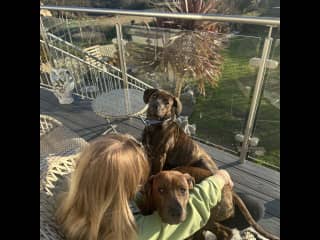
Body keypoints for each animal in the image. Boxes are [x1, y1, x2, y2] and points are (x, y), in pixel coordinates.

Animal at [142, 88, 280, 240]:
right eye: (155, 96)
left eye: (167, 102)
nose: (155, 105)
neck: (156, 125)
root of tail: (230, 190)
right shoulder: (149, 153)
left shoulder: (161, 156)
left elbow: (156, 171)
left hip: (202, 169)